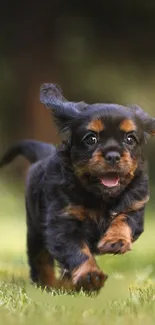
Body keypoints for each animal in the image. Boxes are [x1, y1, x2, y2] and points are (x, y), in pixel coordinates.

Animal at [0, 83, 154, 292]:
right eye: (91, 139)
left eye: (130, 139)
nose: (113, 155)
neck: (100, 197)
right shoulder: (62, 222)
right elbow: (77, 251)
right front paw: (90, 276)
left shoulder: (135, 207)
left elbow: (123, 220)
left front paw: (115, 241)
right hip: (35, 229)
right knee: (40, 259)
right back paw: (50, 285)